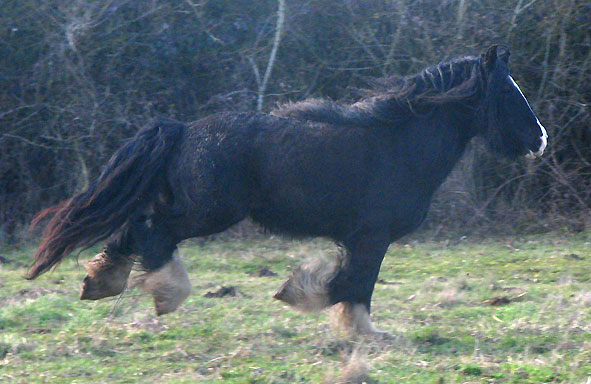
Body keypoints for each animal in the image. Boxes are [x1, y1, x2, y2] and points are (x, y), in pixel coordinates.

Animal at [26, 44, 544, 332]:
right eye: (506, 92)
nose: (539, 139)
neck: (399, 143)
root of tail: (183, 129)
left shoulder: (362, 239)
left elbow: (350, 285)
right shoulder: (372, 236)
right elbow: (354, 286)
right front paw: (326, 312)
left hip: (192, 206)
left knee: (135, 227)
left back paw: (100, 283)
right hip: (208, 211)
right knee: (154, 232)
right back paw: (166, 293)